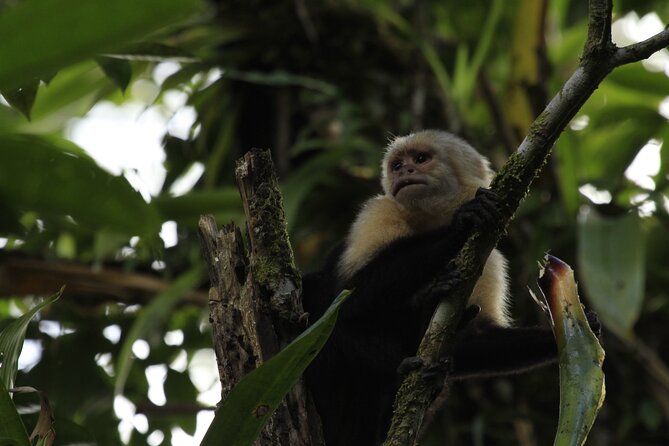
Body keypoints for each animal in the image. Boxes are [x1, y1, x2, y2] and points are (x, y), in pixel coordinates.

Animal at [300, 131, 596, 446]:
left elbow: (475, 338)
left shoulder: (490, 258)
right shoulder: (379, 213)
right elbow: (348, 297)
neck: (429, 220)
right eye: (396, 165)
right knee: (322, 300)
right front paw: (462, 223)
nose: (404, 171)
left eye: (420, 159)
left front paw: (568, 334)